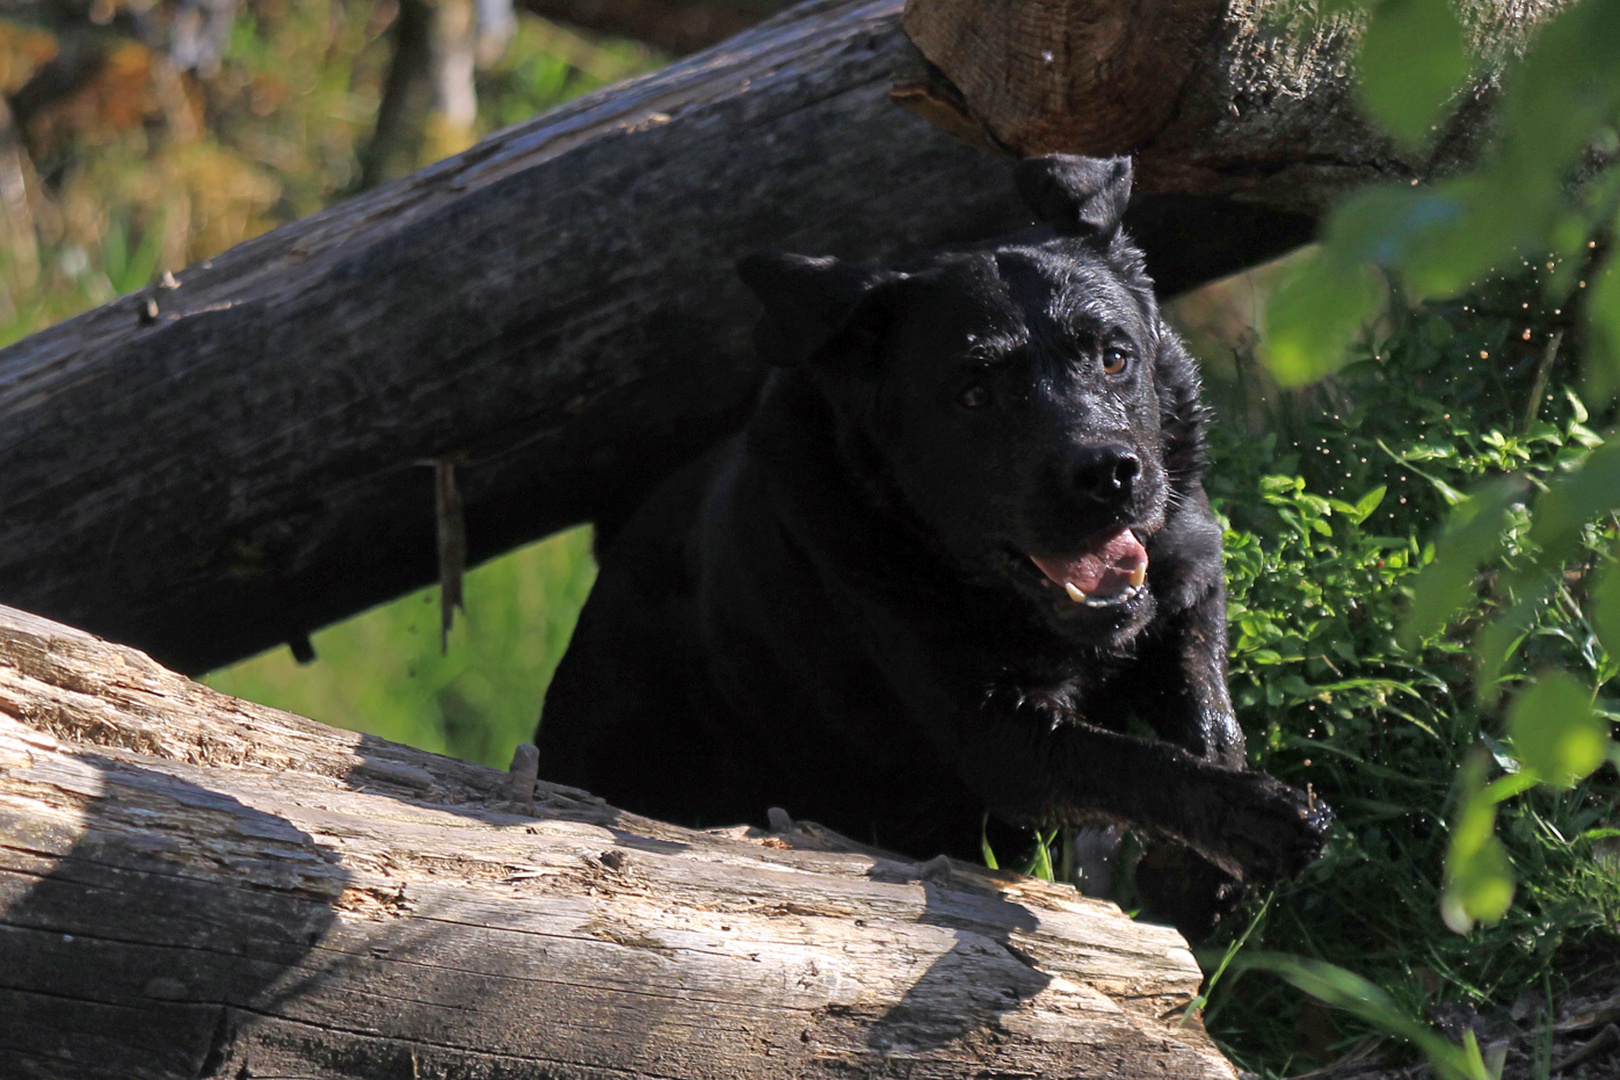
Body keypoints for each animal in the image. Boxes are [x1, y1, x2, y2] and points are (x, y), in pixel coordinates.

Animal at [534, 153, 1328, 932]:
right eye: (974, 393)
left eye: (1113, 356)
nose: (1106, 472)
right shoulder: (994, 731)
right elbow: (1124, 761)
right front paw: (1255, 820)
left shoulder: (1189, 582)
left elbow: (1211, 721)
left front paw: (1196, 874)